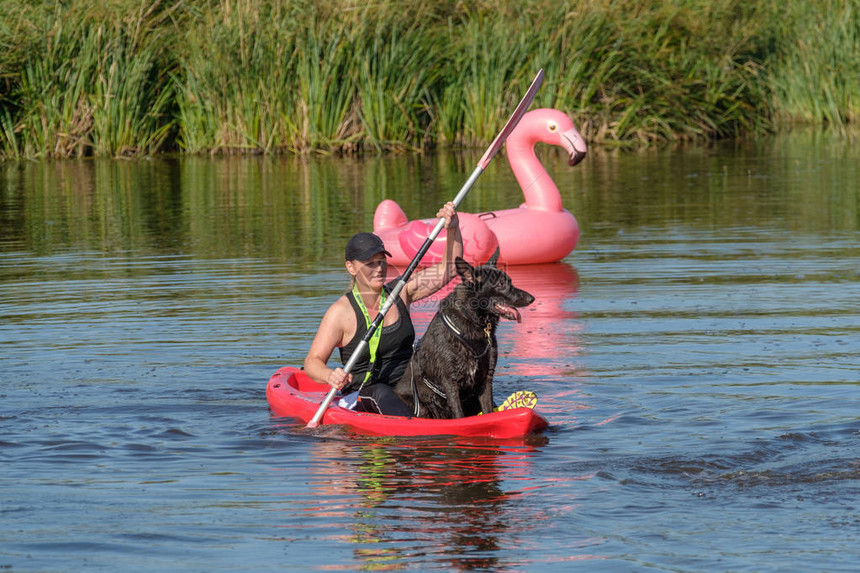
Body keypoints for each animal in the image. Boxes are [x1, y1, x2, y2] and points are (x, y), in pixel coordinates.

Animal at [394, 248, 532, 418]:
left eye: (510, 281)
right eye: (500, 284)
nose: (531, 298)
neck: (472, 321)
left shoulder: (486, 380)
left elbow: (487, 412)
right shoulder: (450, 382)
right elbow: (459, 415)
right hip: (422, 407)